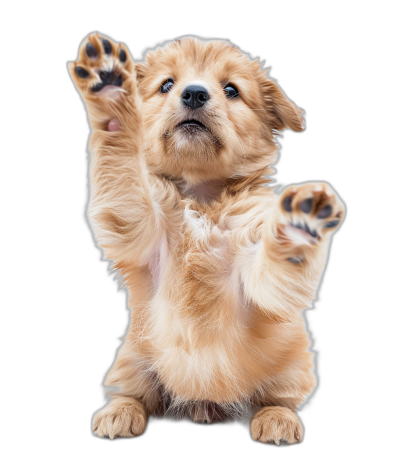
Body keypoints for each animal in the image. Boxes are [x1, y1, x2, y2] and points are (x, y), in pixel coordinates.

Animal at [68, 32, 344, 444]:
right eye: (167, 85)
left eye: (231, 90)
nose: (195, 93)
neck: (201, 197)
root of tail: (204, 407)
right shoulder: (136, 225)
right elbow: (123, 171)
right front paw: (111, 92)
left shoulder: (258, 278)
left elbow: (274, 272)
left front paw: (301, 223)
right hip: (132, 357)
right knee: (136, 394)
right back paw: (120, 412)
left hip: (296, 363)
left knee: (278, 399)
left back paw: (276, 418)